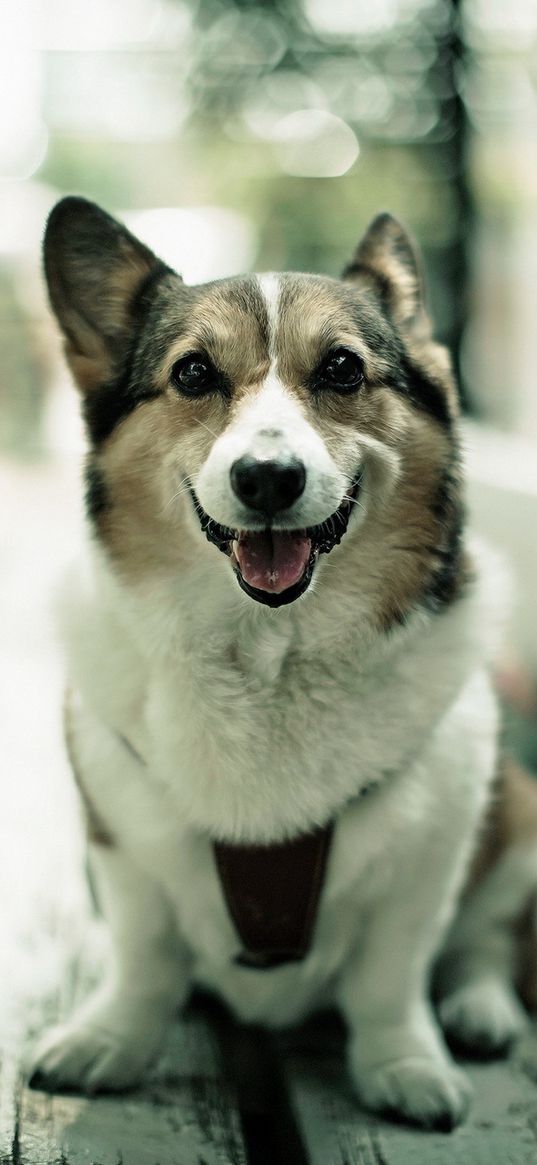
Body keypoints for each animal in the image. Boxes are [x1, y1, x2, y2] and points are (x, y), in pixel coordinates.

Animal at [29, 198, 535, 1127]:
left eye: (341, 367)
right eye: (193, 374)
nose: (267, 477)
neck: (268, 653)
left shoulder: (431, 849)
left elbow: (391, 976)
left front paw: (404, 1063)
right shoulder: (122, 845)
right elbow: (143, 959)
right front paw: (111, 1040)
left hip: (514, 811)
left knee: (486, 938)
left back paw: (479, 1010)